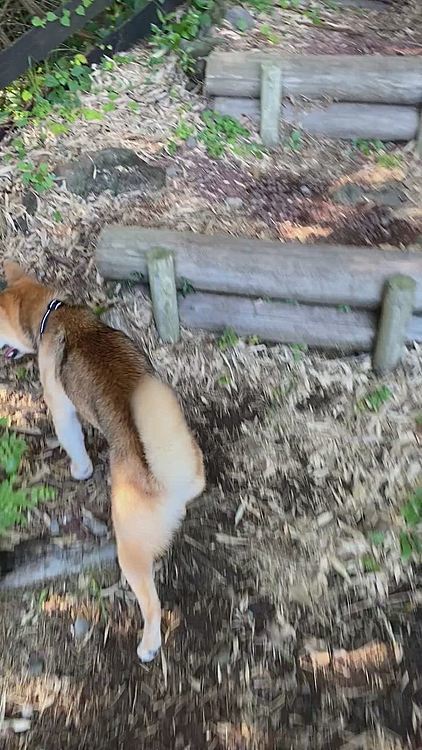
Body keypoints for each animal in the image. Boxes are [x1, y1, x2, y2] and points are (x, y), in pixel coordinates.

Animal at [0, 262, 205, 664]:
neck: (53, 314)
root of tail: (166, 480)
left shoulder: (61, 410)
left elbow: (74, 445)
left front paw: (80, 471)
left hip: (130, 550)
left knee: (152, 605)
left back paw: (148, 645)